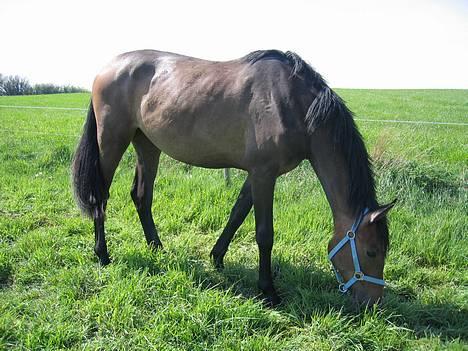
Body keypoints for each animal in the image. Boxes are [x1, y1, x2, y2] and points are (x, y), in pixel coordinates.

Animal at [72, 48, 394, 306]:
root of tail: (108, 67)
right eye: (372, 252)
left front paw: (217, 257)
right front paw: (268, 291)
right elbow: (264, 234)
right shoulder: (264, 174)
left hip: (147, 144)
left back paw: (157, 247)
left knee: (141, 196)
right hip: (111, 141)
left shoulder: (257, 173)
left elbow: (237, 213)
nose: (373, 303)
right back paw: (103, 254)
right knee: (100, 196)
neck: (293, 103)